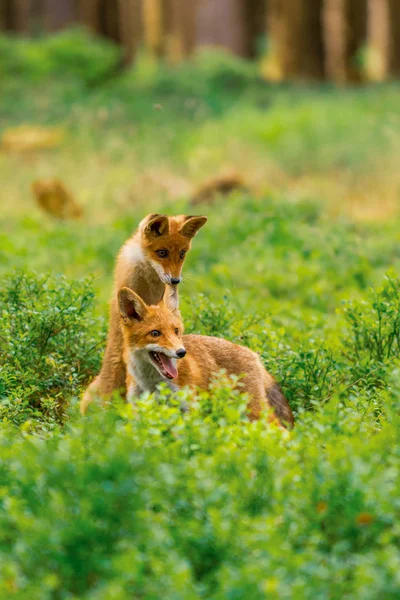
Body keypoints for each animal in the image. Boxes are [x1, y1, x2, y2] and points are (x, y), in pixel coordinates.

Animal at [115, 286, 294, 426]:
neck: (151, 383)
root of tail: (252, 353)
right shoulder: (138, 408)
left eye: (176, 331)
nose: (181, 352)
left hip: (253, 411)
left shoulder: (189, 407)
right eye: (155, 333)